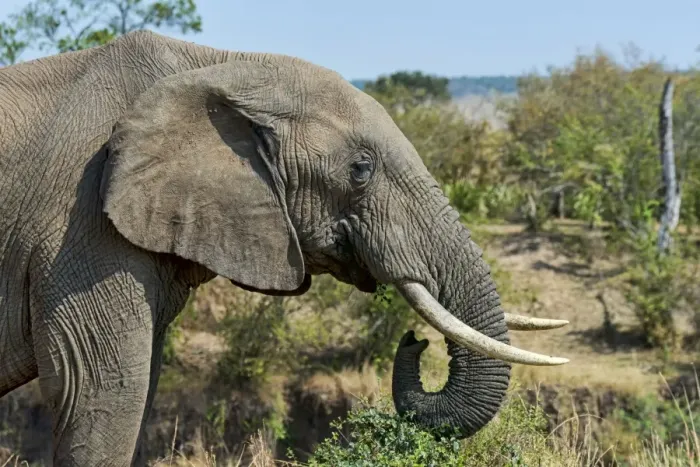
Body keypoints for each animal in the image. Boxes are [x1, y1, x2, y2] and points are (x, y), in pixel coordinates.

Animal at [0, 30, 569, 466]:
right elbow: (101, 388)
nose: (414, 341)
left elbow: (141, 387)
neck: (224, 65)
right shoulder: (78, 226)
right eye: (360, 170)